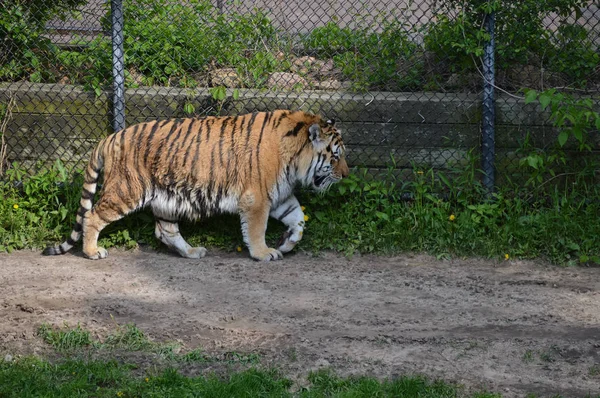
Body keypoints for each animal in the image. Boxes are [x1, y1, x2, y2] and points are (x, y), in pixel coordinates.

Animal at [42, 109, 350, 262]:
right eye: (335, 156)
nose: (346, 175)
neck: (294, 160)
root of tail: (109, 137)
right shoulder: (257, 198)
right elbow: (256, 230)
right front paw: (264, 253)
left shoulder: (280, 196)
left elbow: (299, 221)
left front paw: (287, 244)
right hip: (126, 190)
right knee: (93, 216)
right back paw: (92, 252)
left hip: (165, 199)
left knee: (165, 231)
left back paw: (191, 252)